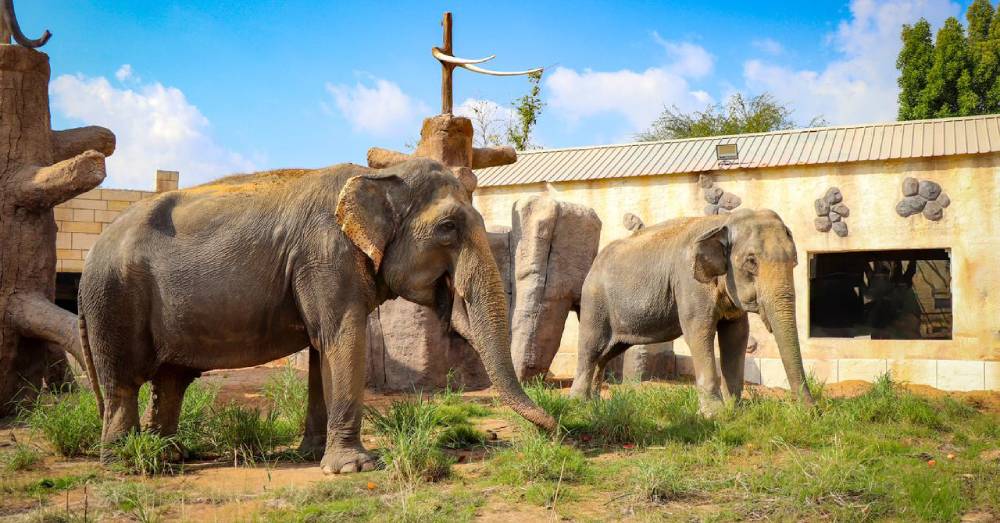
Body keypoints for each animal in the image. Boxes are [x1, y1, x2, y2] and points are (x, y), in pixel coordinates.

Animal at [78, 158, 556, 474]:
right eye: (448, 228)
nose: (556, 431)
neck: (379, 176)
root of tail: (89, 256)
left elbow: (320, 348)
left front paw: (311, 456)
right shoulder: (326, 255)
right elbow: (343, 337)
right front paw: (355, 468)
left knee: (172, 380)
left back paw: (170, 456)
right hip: (114, 298)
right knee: (124, 381)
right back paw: (125, 464)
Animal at [569, 208, 815, 414]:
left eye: (794, 261)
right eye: (751, 262)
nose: (812, 412)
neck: (723, 221)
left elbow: (736, 336)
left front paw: (736, 412)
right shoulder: (689, 282)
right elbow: (699, 332)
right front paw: (714, 415)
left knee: (607, 352)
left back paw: (595, 403)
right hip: (595, 302)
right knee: (591, 348)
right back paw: (579, 403)